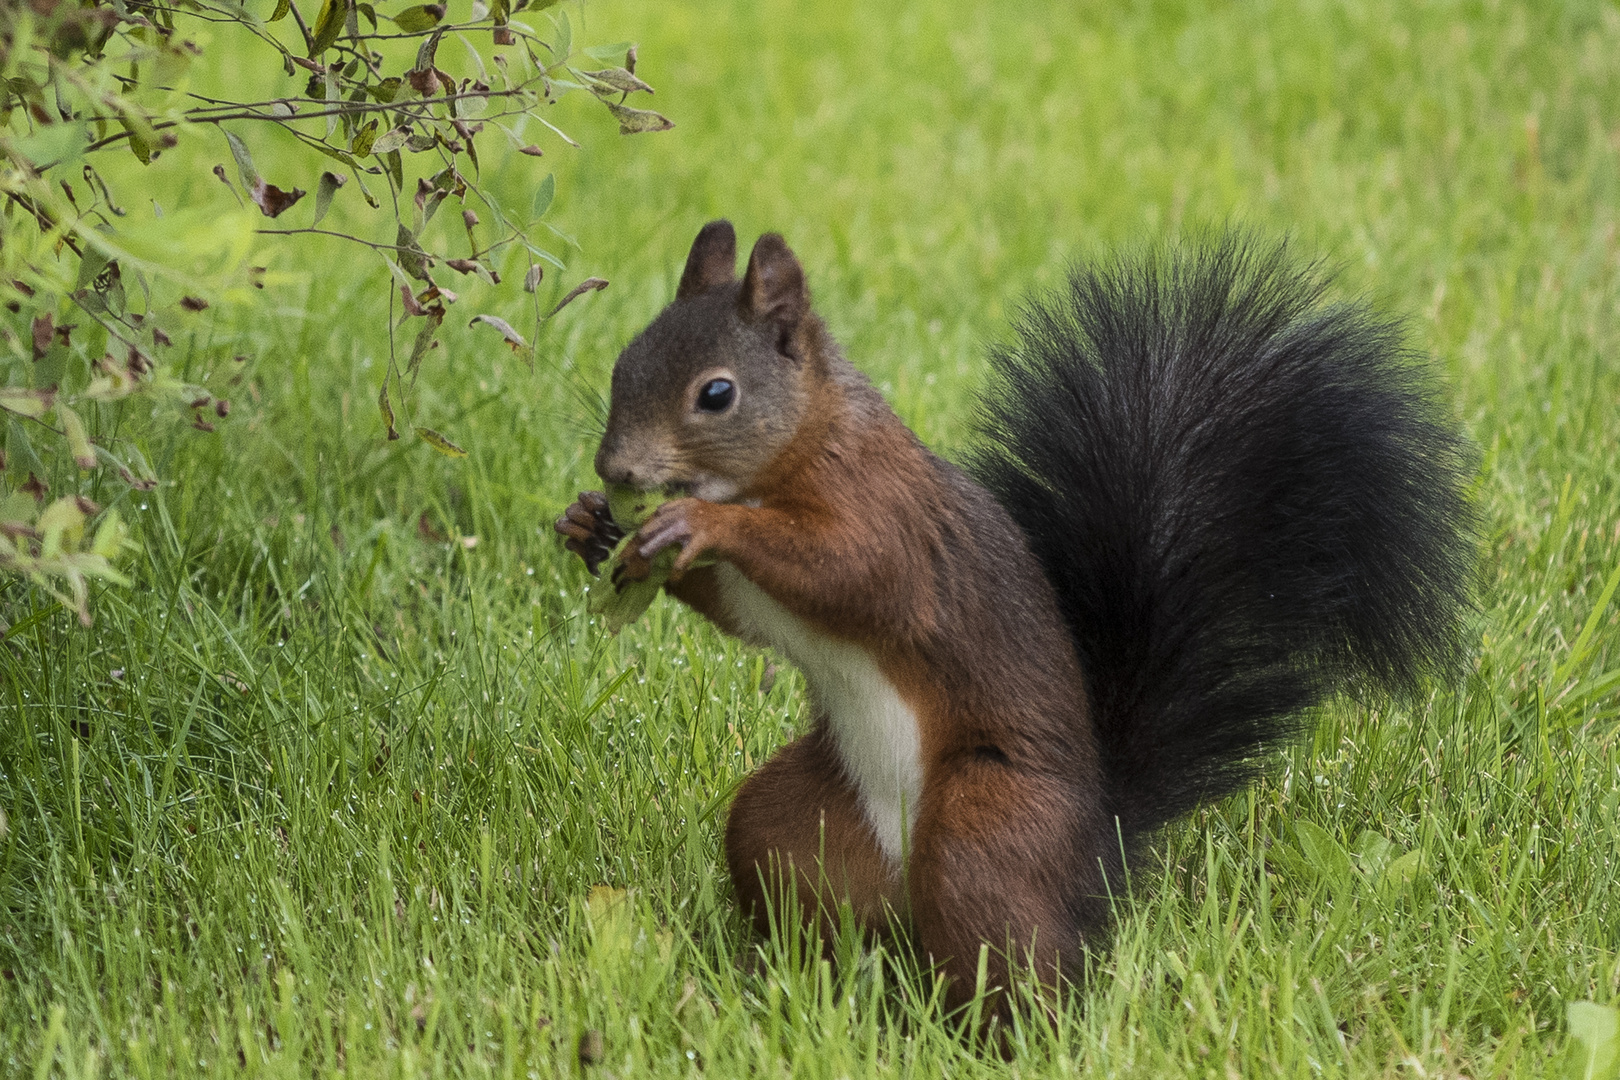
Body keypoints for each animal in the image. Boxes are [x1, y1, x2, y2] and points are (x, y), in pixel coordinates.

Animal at [557, 223, 1483, 1016]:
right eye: (624, 361)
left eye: (717, 393)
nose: (615, 469)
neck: (793, 450)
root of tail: (1099, 844)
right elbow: (739, 611)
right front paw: (594, 528)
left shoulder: (885, 515)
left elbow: (856, 573)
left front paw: (695, 525)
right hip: (794, 823)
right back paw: (806, 980)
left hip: (990, 822)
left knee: (1009, 948)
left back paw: (993, 1030)